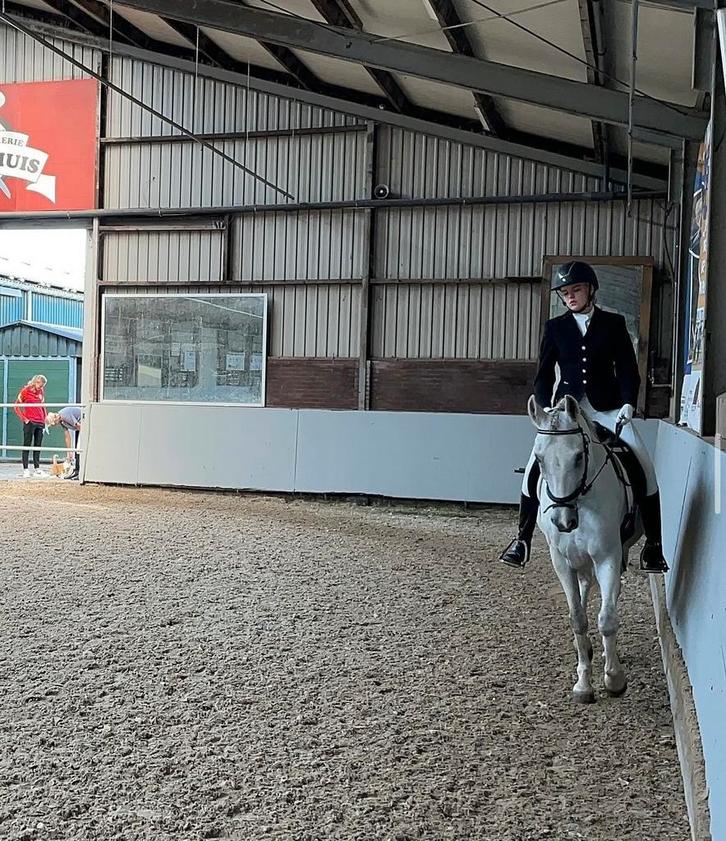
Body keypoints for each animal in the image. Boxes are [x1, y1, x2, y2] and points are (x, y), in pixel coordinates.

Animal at [527, 394, 642, 704]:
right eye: (539, 459)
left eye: (579, 456)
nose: (562, 521)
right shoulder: (561, 560)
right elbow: (577, 618)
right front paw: (583, 683)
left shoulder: (608, 557)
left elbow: (607, 618)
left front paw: (614, 679)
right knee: (584, 586)